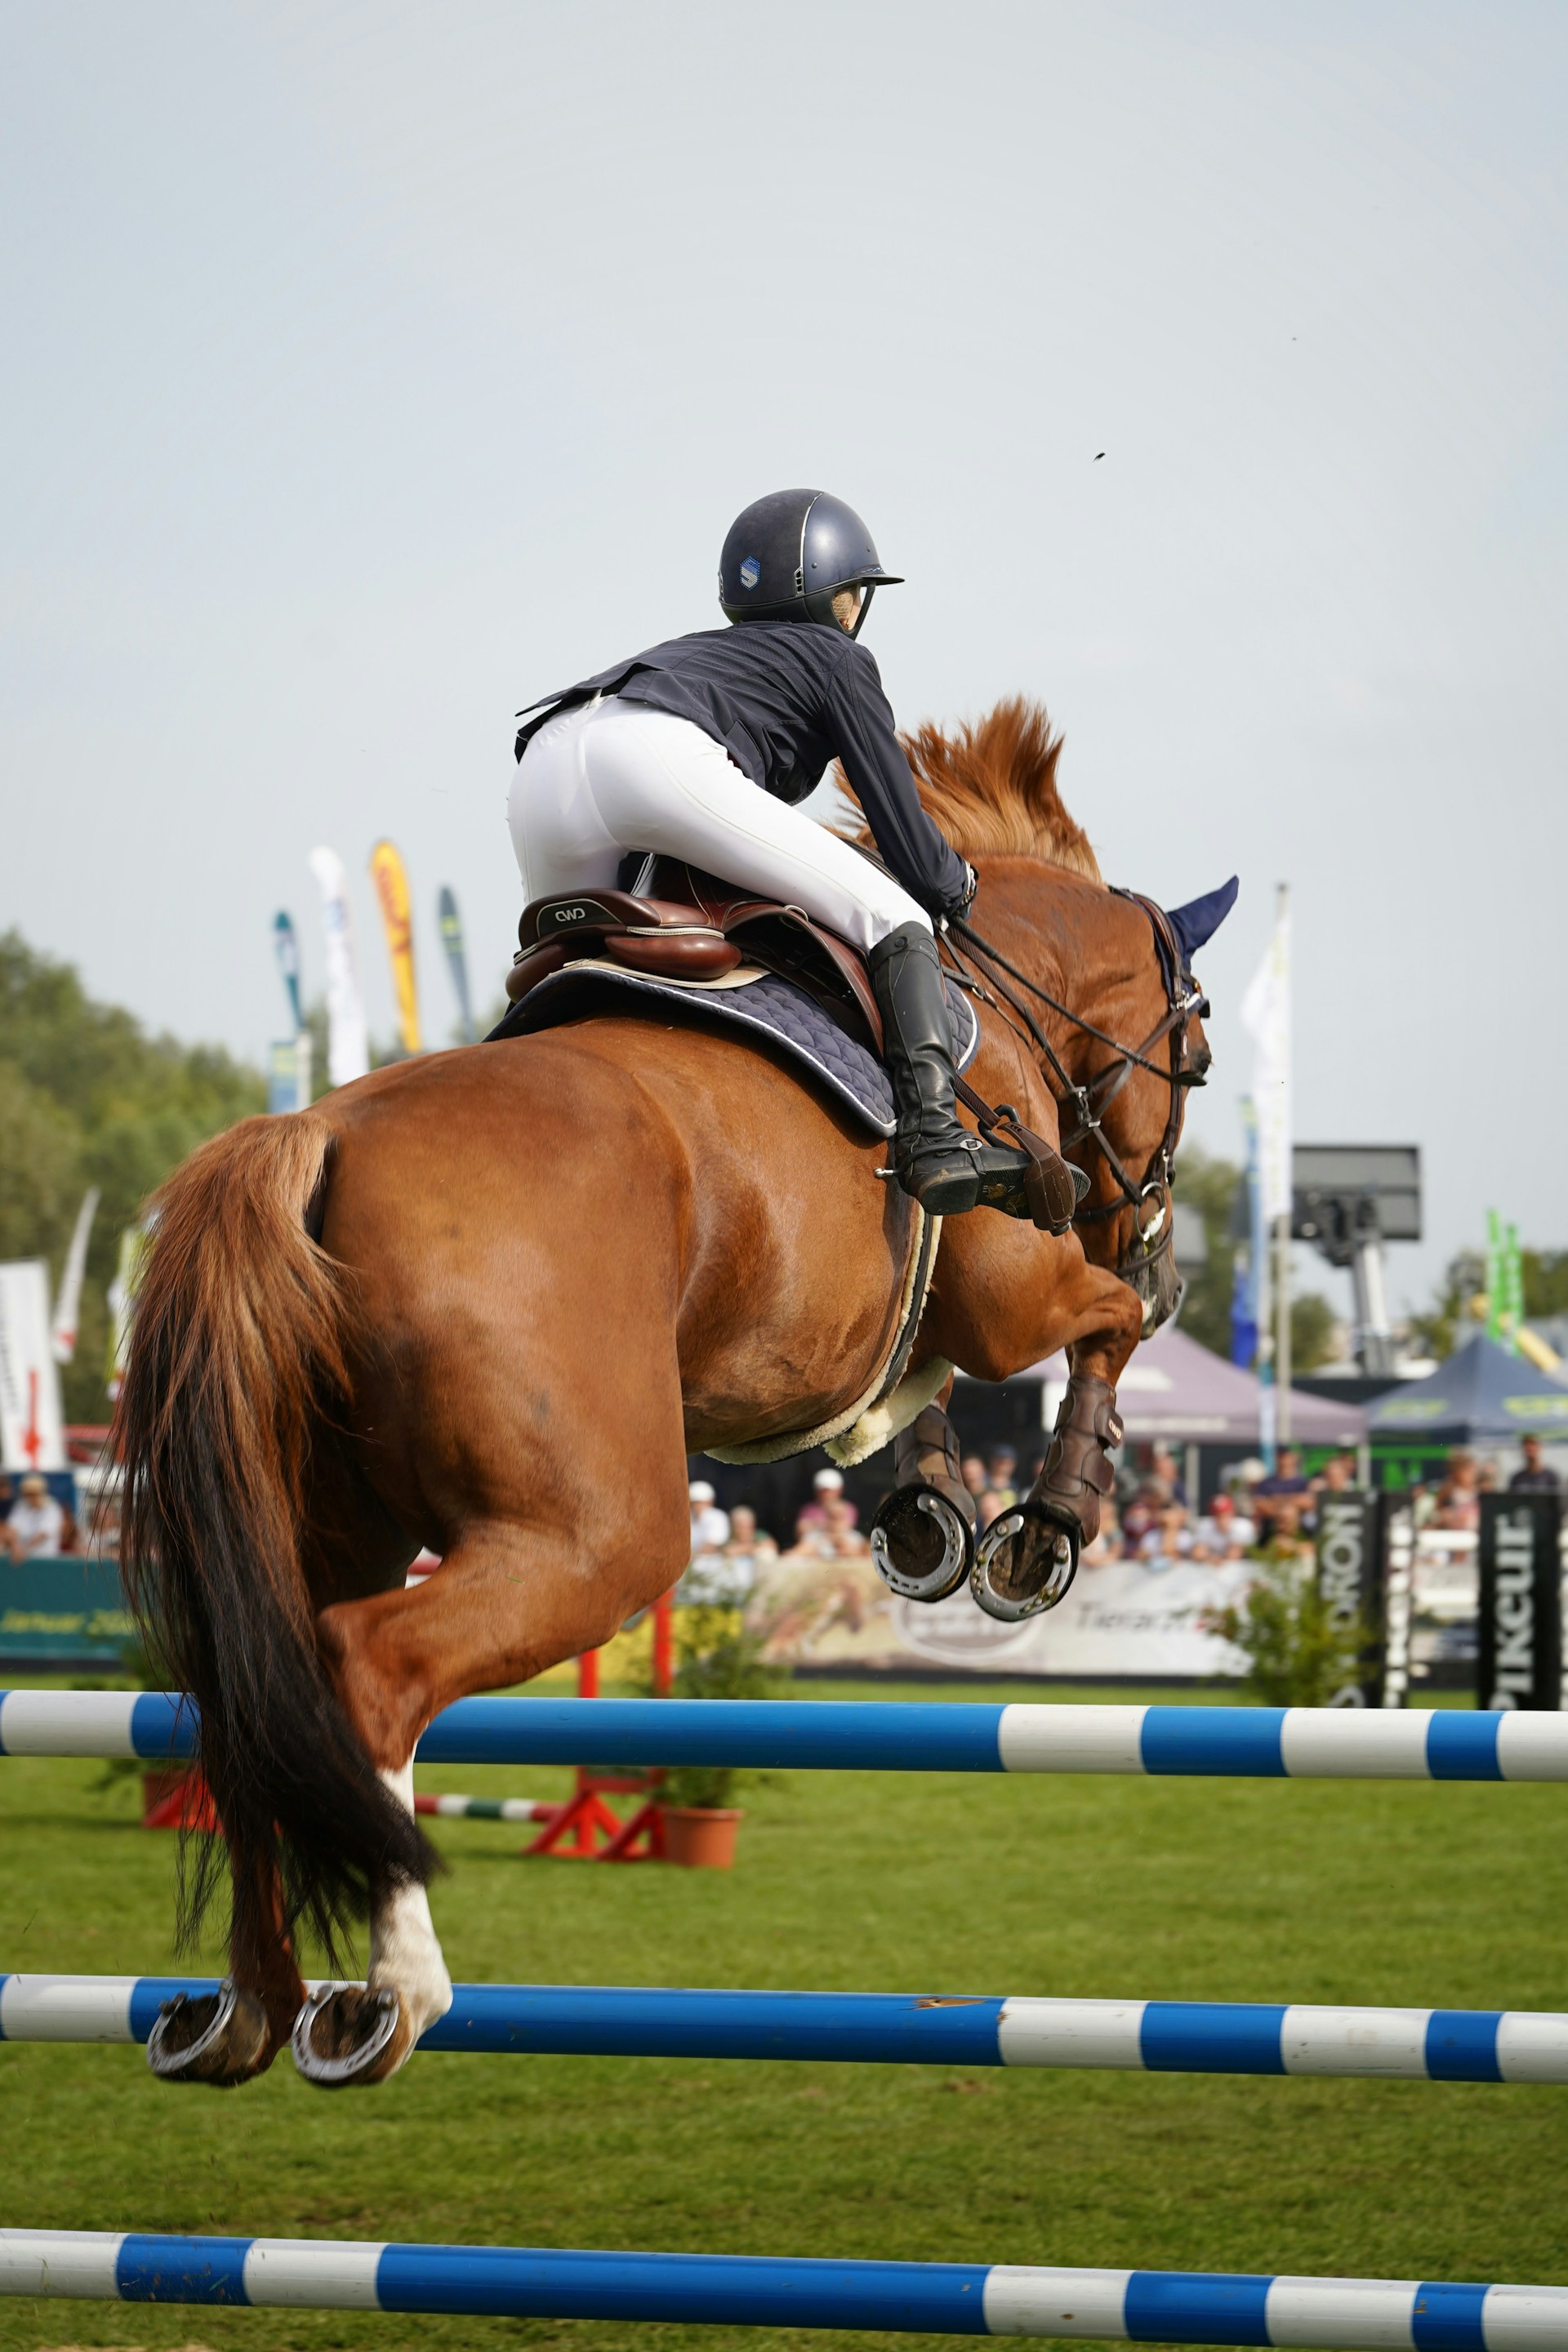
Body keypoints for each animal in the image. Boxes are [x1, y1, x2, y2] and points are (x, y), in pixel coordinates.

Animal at [115, 696, 1230, 2091]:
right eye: (1199, 1050)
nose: (1160, 1247)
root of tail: (309, 1136)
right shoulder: (1012, 1295)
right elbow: (1096, 1335)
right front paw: (1042, 1532)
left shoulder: (876, 1329)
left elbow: (909, 1391)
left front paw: (930, 1519)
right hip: (603, 1534)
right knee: (369, 1672)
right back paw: (390, 1999)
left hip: (324, 1524)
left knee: (251, 1703)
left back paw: (249, 2007)